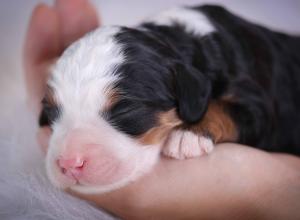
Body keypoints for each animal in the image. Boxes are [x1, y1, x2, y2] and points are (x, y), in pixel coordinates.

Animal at [38, 5, 300, 193]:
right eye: (52, 113)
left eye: (125, 109)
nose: (69, 164)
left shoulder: (258, 105)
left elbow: (227, 109)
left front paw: (188, 135)